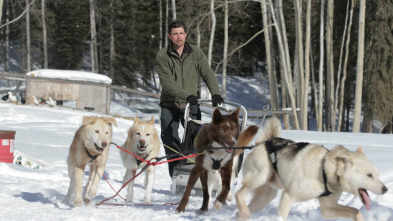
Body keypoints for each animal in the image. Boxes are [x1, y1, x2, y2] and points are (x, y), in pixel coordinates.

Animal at [234, 116, 388, 220]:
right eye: (369, 175)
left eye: (376, 174)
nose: (385, 189)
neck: (324, 170)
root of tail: (263, 143)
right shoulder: (288, 196)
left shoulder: (328, 208)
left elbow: (356, 211)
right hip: (260, 177)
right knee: (238, 194)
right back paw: (244, 210)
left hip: (265, 197)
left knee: (240, 210)